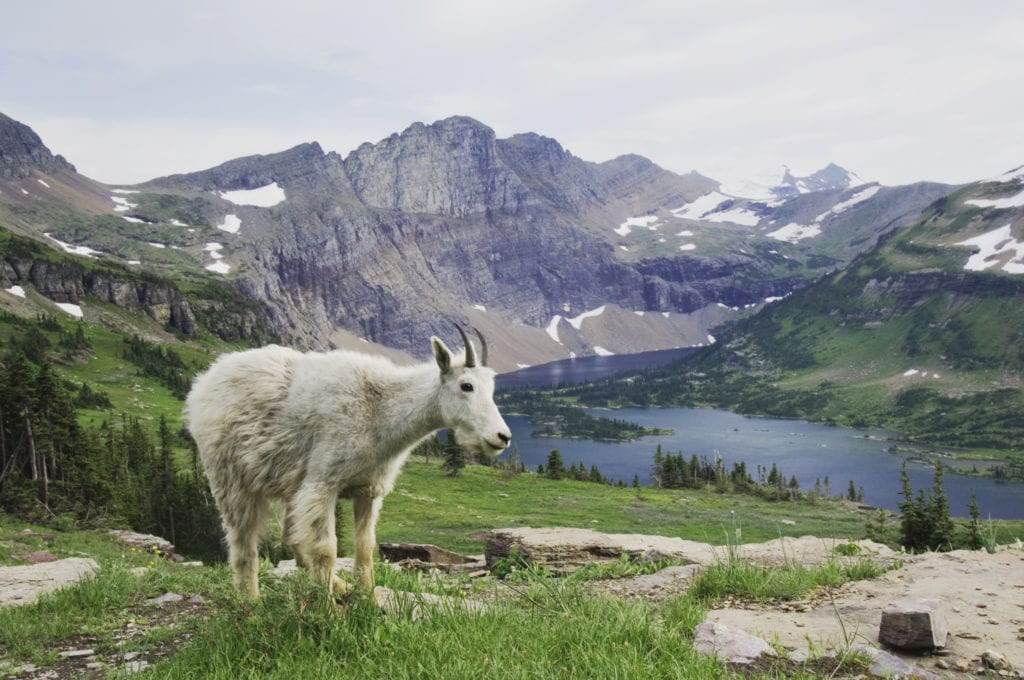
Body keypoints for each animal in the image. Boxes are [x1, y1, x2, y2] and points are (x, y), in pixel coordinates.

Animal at [184, 327, 511, 599]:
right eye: (466, 386)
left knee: (290, 535)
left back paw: (339, 586)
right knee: (243, 544)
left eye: (492, 388)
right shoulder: (322, 485)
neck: (380, 410)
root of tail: (202, 384)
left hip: (289, 487)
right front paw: (328, 611)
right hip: (230, 480)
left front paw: (366, 595)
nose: (502, 437)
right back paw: (251, 603)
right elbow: (326, 550)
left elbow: (365, 546)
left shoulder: (368, 489)